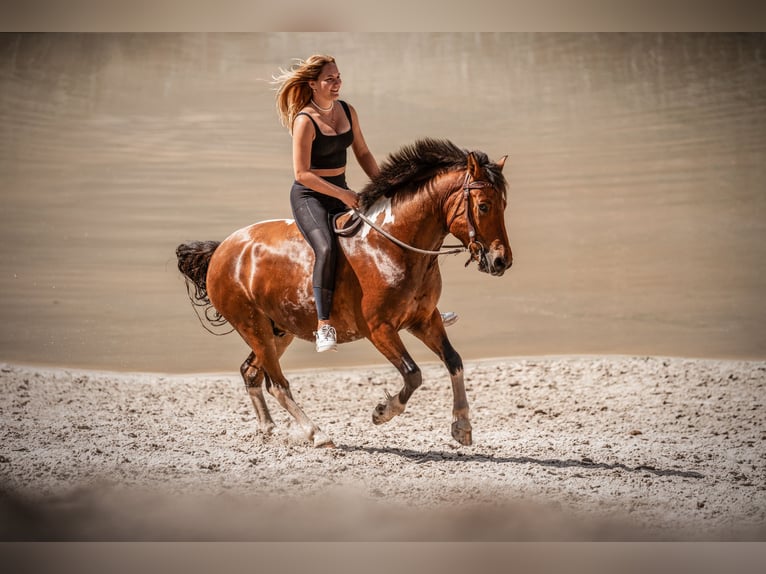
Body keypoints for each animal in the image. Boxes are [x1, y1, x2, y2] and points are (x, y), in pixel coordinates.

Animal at [177, 140, 512, 450]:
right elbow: (413, 374)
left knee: (251, 372)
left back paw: (268, 428)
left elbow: (454, 361)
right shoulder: (379, 329)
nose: (501, 262)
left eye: (503, 205)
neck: (394, 246)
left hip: (279, 331)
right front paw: (382, 412)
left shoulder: (424, 319)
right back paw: (317, 434)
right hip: (253, 327)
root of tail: (223, 249)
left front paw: (462, 426)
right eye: (484, 206)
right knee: (278, 385)